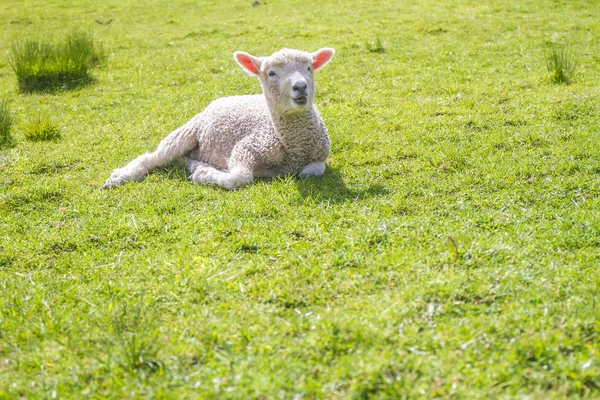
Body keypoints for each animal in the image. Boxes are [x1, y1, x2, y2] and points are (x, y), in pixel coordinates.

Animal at [101, 47, 336, 191]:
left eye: (309, 68)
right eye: (271, 73)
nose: (300, 86)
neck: (292, 147)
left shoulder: (320, 156)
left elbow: (312, 172)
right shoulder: (247, 147)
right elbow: (239, 177)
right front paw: (204, 174)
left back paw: (192, 162)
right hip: (187, 131)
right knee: (152, 158)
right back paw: (121, 177)